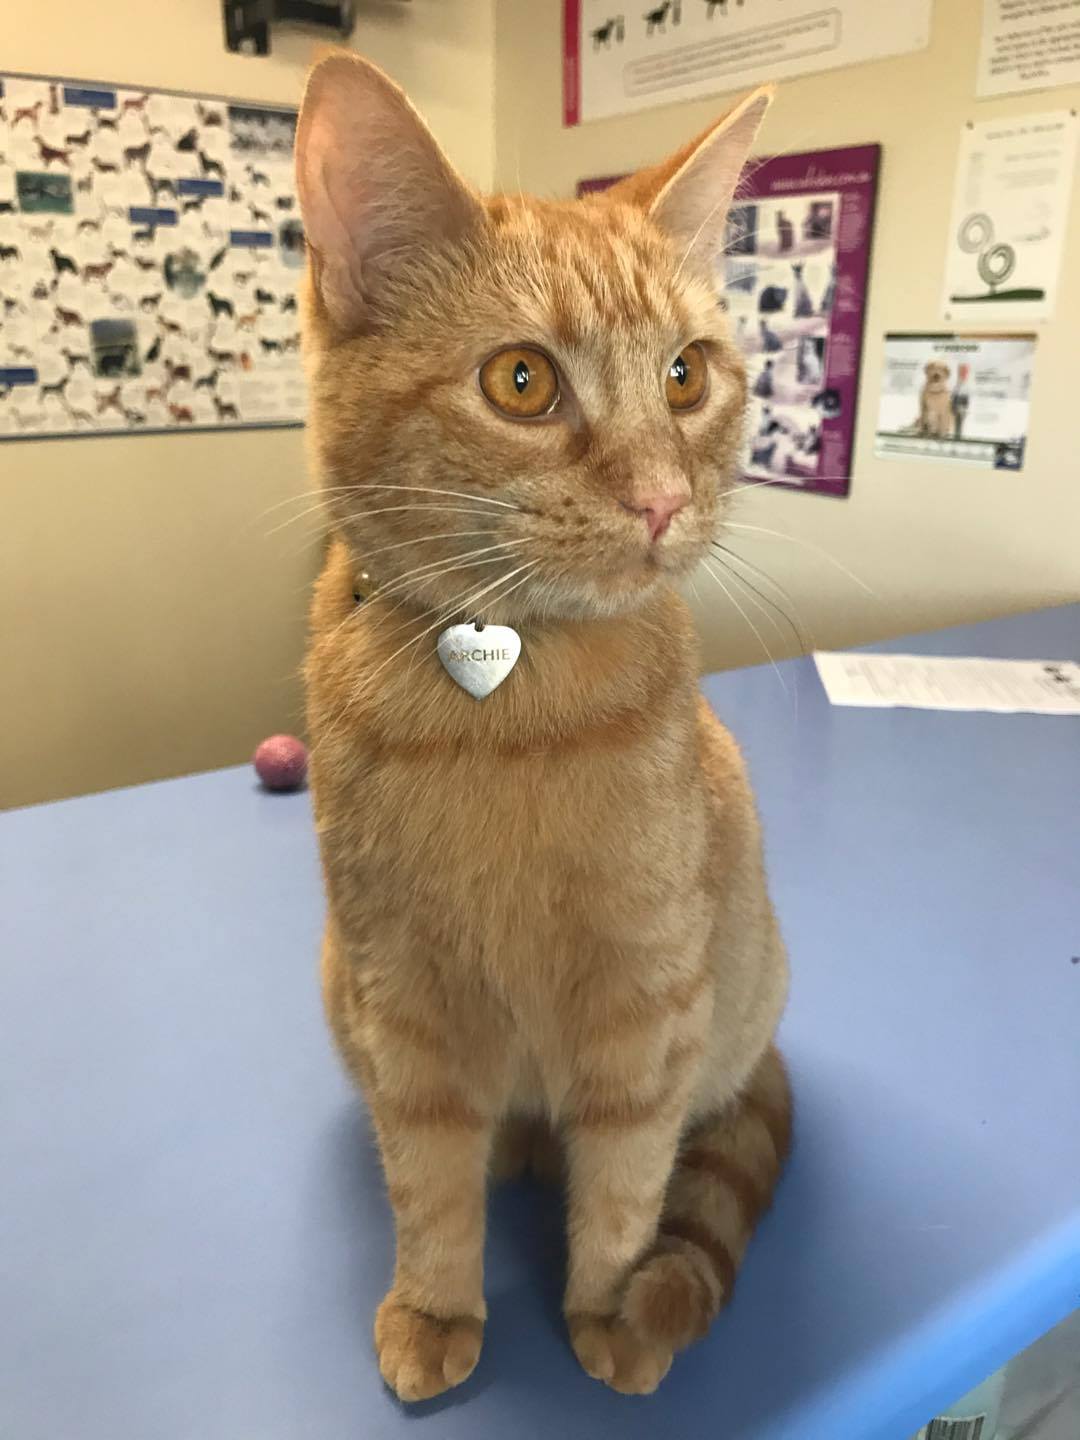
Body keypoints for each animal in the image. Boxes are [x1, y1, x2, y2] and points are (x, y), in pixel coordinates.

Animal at [296, 53, 790, 1403]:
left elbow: (625, 1186)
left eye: (687, 375)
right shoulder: (402, 1004)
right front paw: (436, 1306)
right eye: (521, 382)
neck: (505, 710)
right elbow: (427, 1185)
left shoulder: (646, 1004)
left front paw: (610, 1310)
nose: (662, 499)